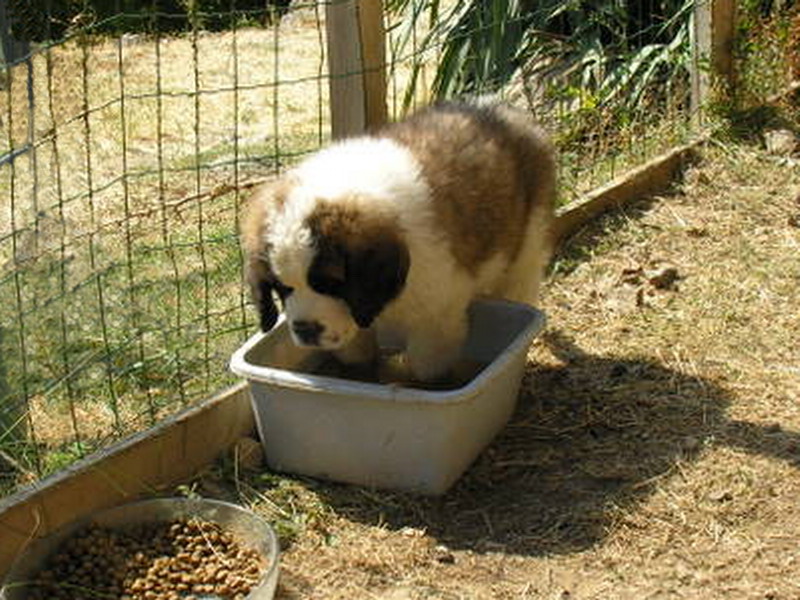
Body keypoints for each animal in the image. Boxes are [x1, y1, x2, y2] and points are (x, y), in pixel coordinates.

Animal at [241, 98, 556, 380]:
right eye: (282, 287)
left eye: (331, 283)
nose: (305, 329)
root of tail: (505, 110)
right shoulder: (356, 315)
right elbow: (357, 356)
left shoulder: (435, 320)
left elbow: (425, 371)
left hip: (527, 245)